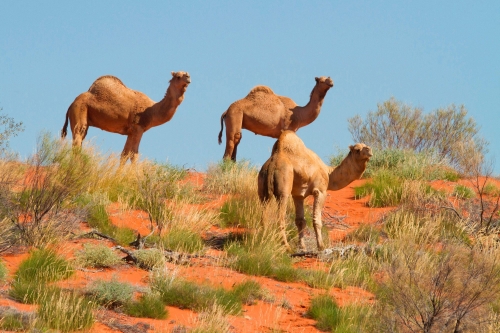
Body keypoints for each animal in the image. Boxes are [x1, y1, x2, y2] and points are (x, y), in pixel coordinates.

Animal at [59, 71, 191, 162]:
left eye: (186, 74)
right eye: (178, 76)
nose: (188, 77)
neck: (152, 110)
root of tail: (71, 104)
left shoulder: (131, 131)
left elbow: (125, 154)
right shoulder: (138, 128)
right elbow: (134, 154)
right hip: (79, 112)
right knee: (77, 139)